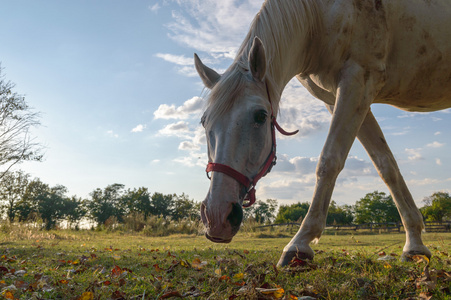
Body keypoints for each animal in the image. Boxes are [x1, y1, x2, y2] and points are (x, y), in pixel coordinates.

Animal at [195, 0, 451, 266]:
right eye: (204, 122)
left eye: (260, 116)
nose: (216, 217)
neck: (319, 17)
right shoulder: (340, 97)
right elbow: (386, 166)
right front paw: (414, 246)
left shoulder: (358, 81)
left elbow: (329, 160)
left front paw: (299, 244)